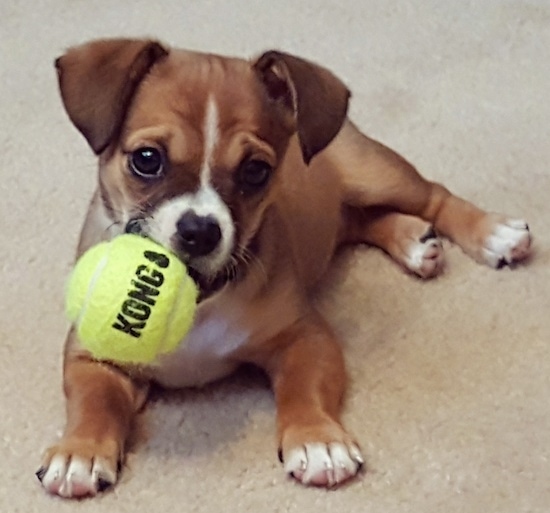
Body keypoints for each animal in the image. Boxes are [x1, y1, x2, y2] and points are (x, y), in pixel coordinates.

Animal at [35, 39, 536, 496]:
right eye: (146, 159)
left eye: (255, 171)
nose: (200, 230)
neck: (201, 302)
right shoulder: (89, 356)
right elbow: (93, 401)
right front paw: (79, 451)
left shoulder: (305, 337)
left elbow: (303, 389)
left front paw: (317, 441)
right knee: (359, 220)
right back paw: (414, 241)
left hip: (374, 173)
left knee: (433, 195)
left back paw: (492, 233)